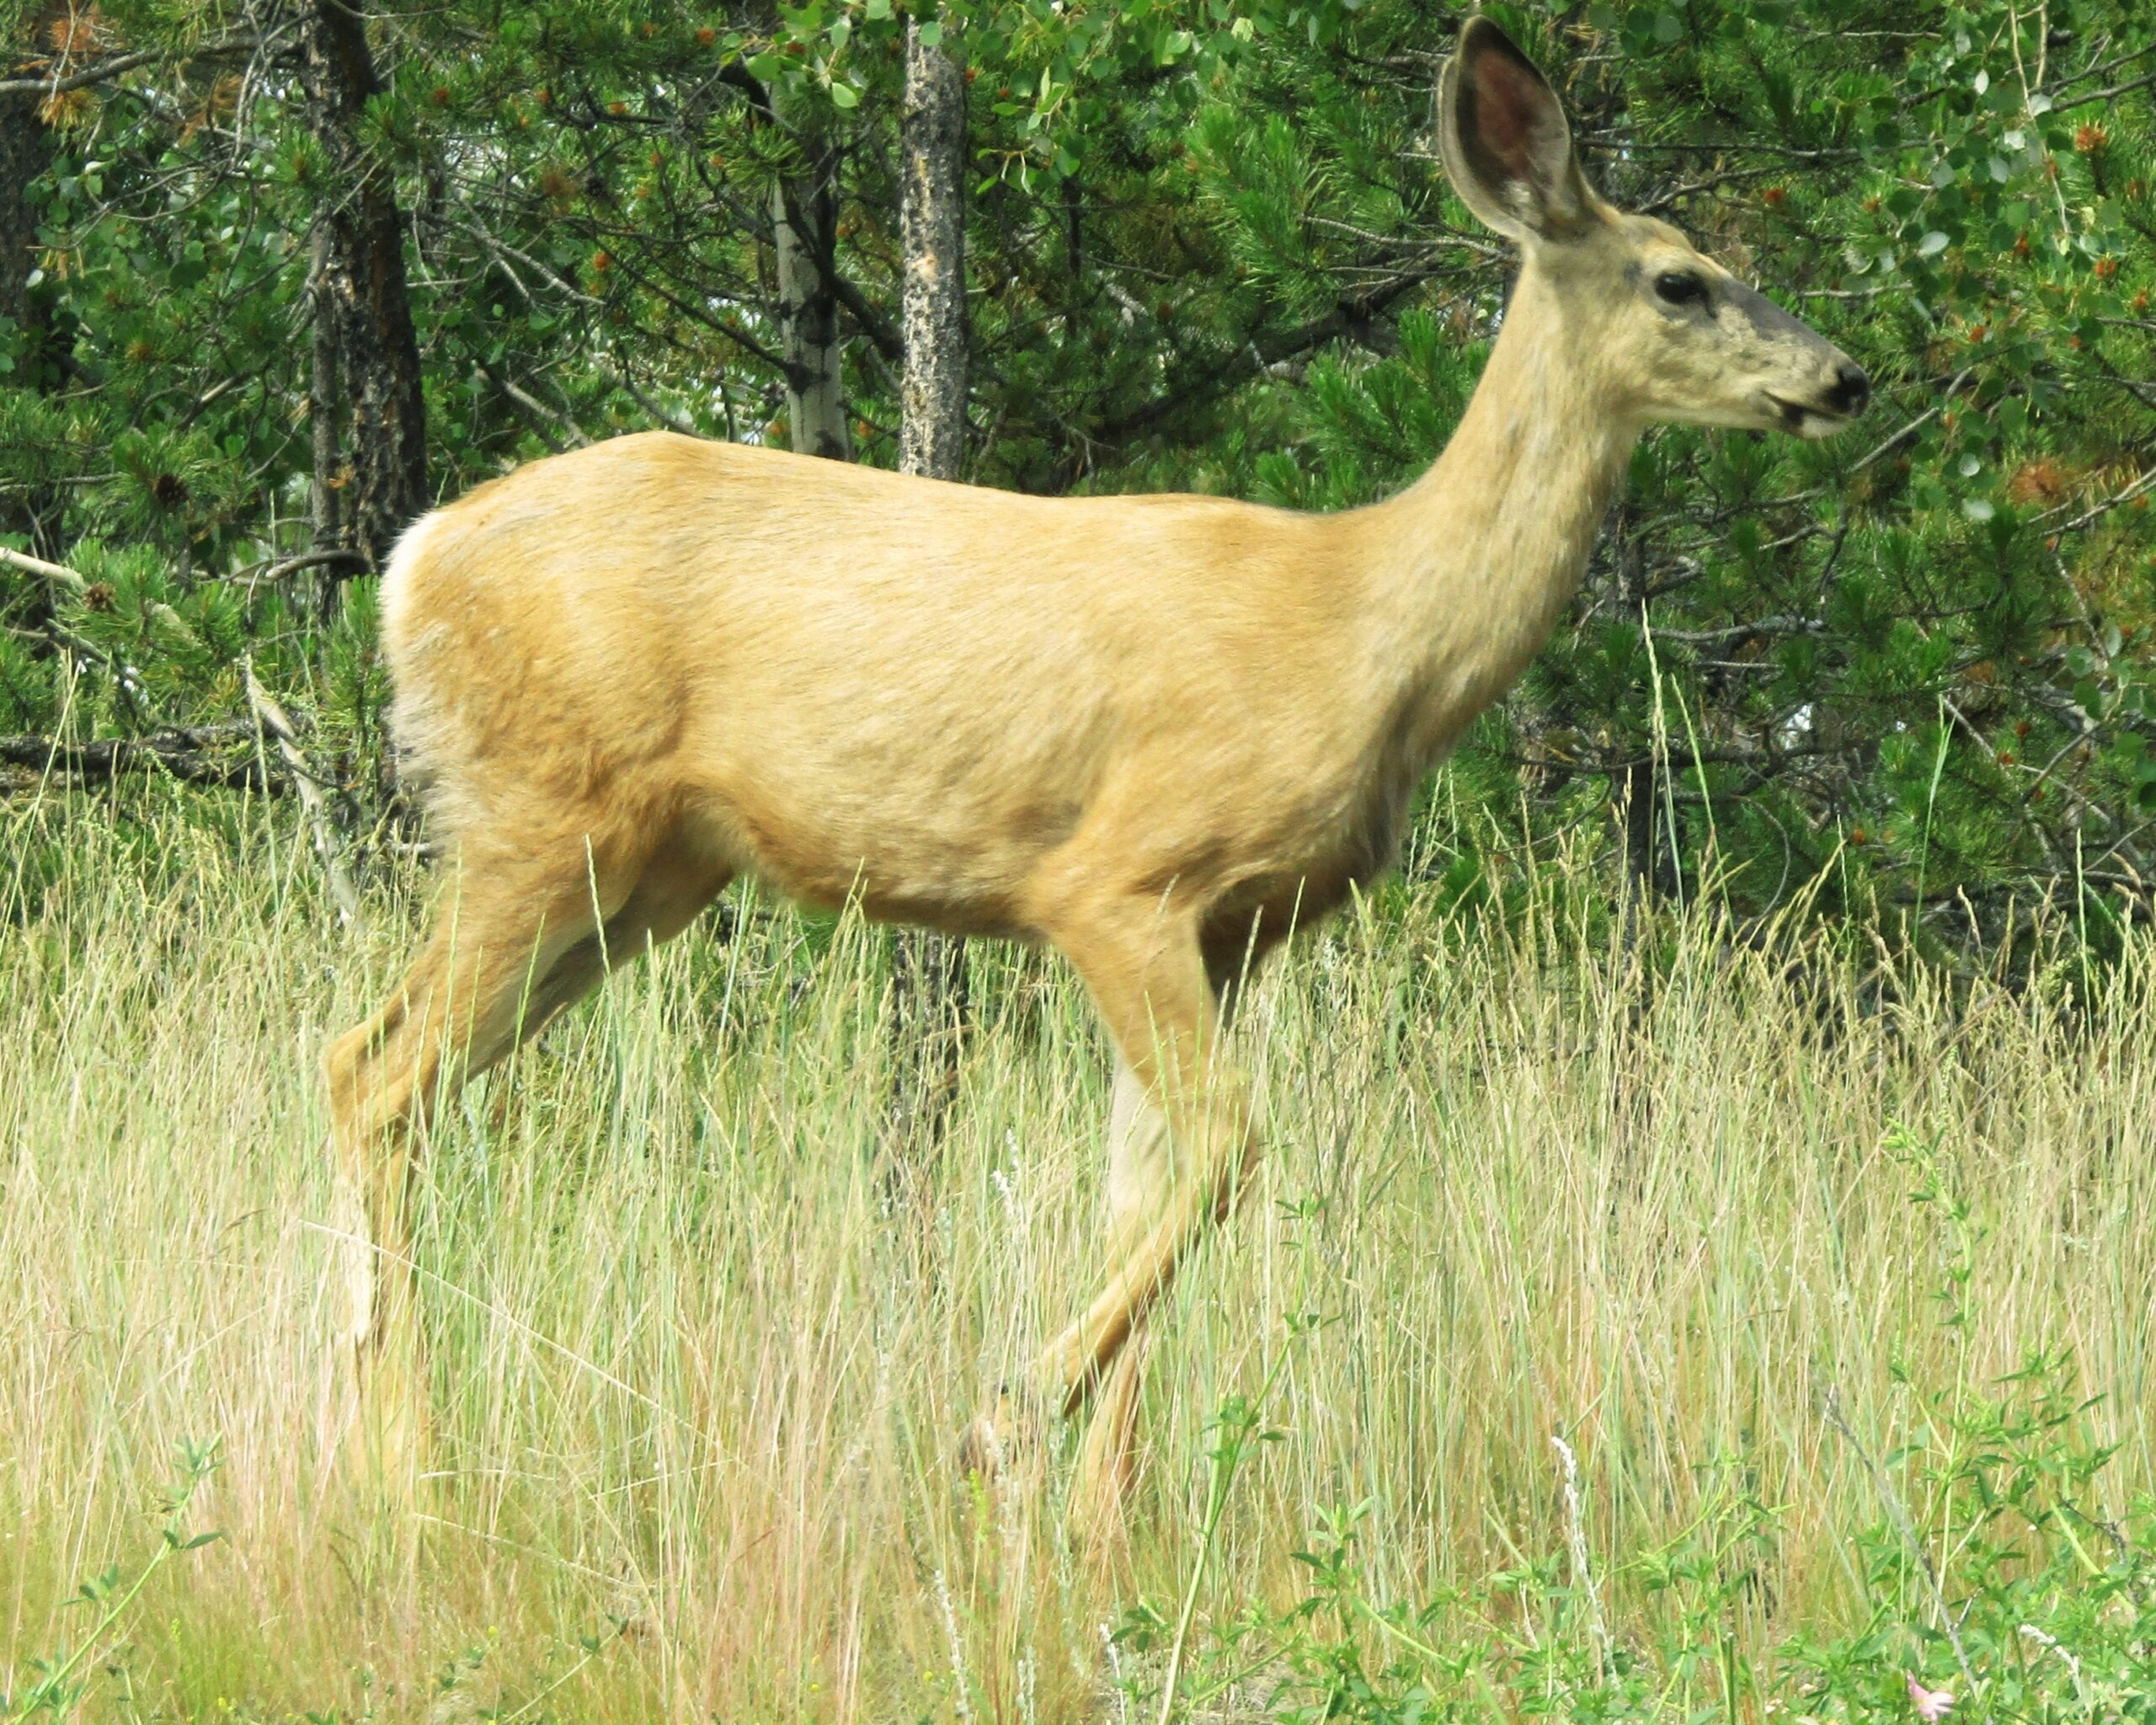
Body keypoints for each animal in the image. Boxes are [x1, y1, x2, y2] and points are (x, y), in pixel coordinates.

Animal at [323, 20, 1871, 1535]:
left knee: (392, 1070)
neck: (1368, 634)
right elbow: (1229, 1147)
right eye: (1679, 279)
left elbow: (1144, 1186)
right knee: (371, 1071)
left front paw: (1096, 1516)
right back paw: (399, 1465)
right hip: (543, 810)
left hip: (650, 872)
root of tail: (412, 561)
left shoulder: (1234, 927)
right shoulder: (1117, 878)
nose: (1845, 378)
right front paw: (1005, 1419)